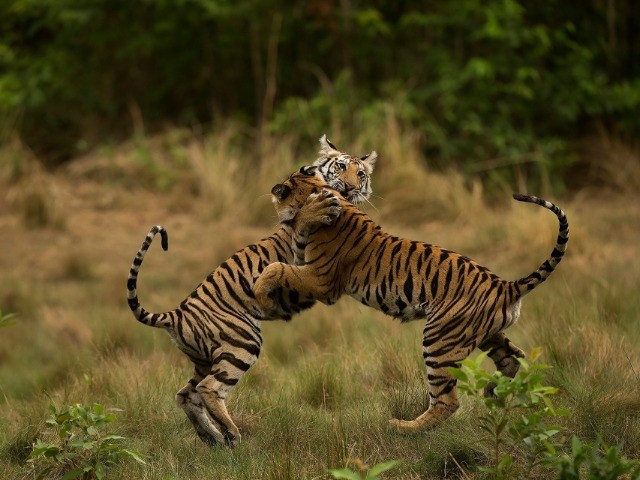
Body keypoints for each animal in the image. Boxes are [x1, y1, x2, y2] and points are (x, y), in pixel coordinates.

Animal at [126, 137, 376, 447]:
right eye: (340, 167)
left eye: (361, 173)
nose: (352, 187)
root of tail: (176, 314)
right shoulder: (299, 255)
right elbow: (302, 222)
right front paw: (314, 210)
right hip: (242, 343)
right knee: (208, 389)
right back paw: (232, 434)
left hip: (204, 359)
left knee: (185, 394)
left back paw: (213, 438)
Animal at [254, 167, 569, 432]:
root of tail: (506, 285)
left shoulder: (321, 280)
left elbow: (275, 267)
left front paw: (262, 295)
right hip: (487, 333)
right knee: (513, 359)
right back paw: (492, 390)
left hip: (440, 340)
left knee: (446, 401)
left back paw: (404, 427)